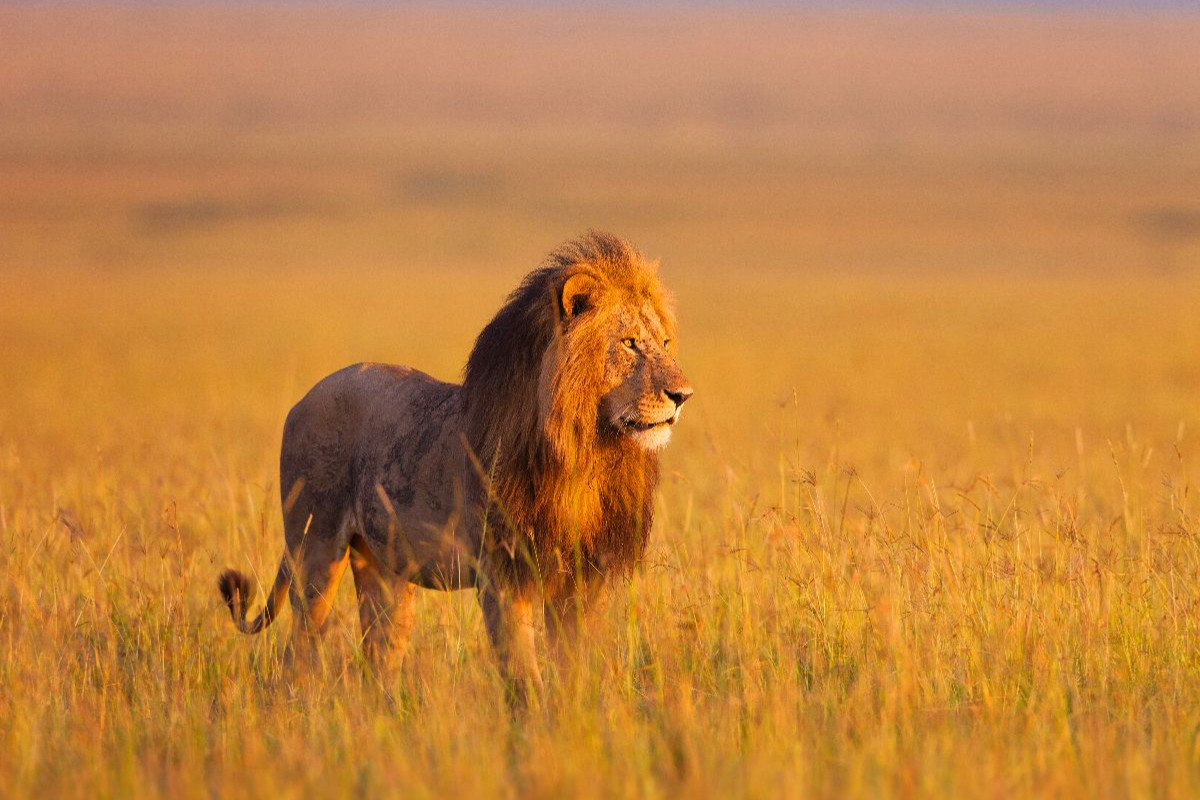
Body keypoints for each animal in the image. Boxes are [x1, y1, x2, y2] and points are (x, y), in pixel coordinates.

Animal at [218, 231, 692, 699]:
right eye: (629, 342)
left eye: (666, 344)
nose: (683, 395)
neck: (586, 455)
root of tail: (303, 399)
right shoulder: (502, 572)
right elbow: (523, 674)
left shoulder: (584, 575)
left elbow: (574, 666)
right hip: (314, 549)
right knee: (298, 650)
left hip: (385, 571)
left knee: (379, 657)